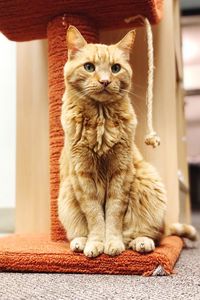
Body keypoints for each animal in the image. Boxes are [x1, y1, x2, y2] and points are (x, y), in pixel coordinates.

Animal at [57, 25, 197, 256]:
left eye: (115, 68)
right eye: (89, 67)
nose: (105, 81)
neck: (100, 120)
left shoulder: (120, 172)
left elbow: (114, 213)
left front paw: (112, 243)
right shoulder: (82, 175)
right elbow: (94, 215)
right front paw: (96, 243)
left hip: (147, 180)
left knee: (150, 234)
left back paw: (141, 242)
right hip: (67, 192)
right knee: (80, 230)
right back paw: (80, 241)